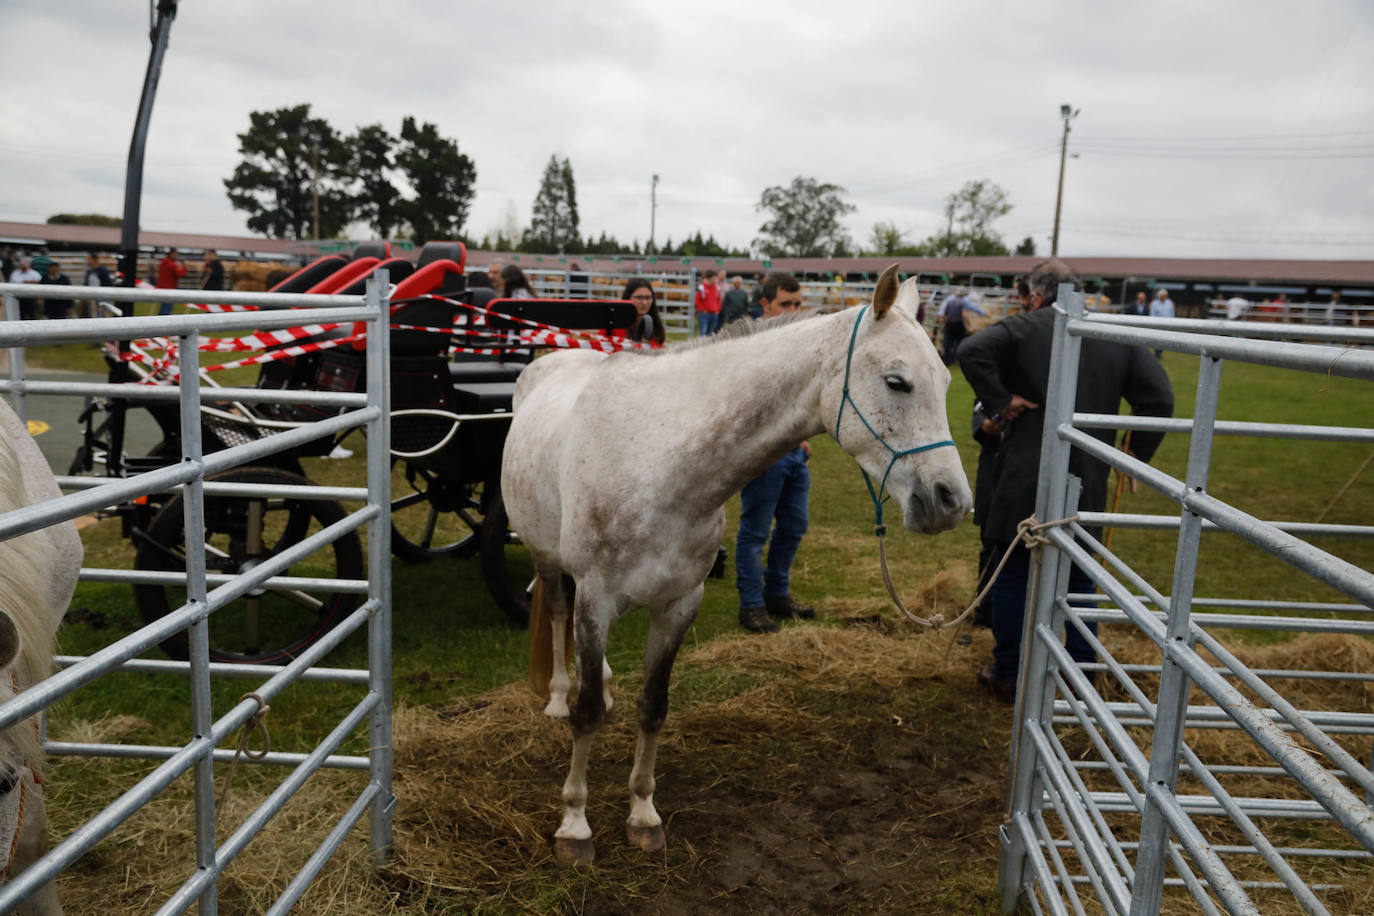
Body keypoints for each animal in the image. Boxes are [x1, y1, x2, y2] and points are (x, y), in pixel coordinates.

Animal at [500, 266, 972, 867]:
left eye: (946, 381)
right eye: (897, 382)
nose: (951, 501)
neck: (659, 462)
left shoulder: (680, 604)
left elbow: (654, 706)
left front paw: (643, 814)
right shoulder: (596, 600)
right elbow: (586, 717)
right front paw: (575, 825)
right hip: (550, 562)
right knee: (559, 619)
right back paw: (559, 695)